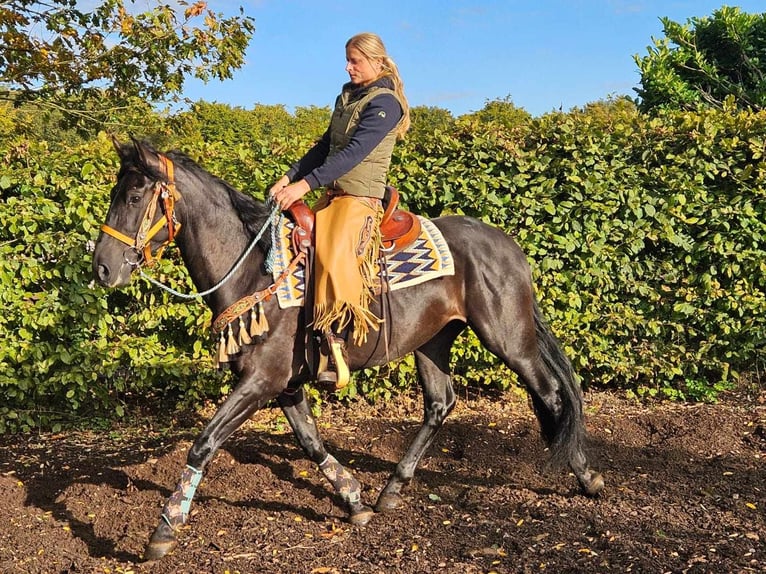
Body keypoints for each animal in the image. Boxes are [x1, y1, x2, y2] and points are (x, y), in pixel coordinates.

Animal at [91, 138, 608, 564]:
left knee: (552, 395)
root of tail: (508, 246)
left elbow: (204, 442)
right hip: (432, 342)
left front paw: (165, 529)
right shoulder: (283, 385)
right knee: (441, 404)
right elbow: (311, 440)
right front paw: (354, 498)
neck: (256, 269)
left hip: (508, 338)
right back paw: (391, 490)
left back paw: (586, 475)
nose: (102, 268)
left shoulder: (259, 382)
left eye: (133, 198)